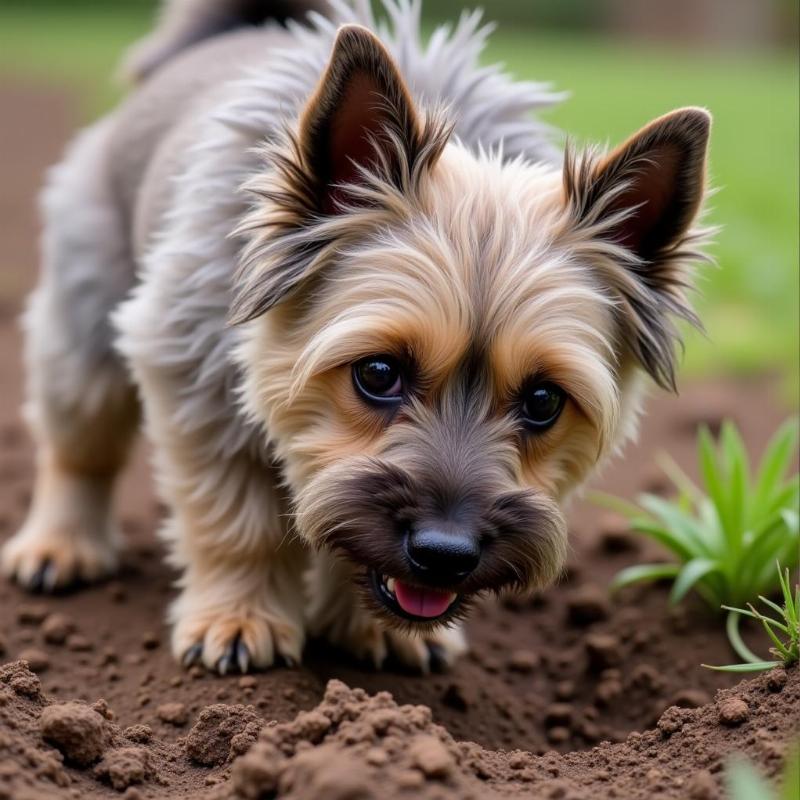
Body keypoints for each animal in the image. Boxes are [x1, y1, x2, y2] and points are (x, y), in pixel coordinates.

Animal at [1, 1, 712, 676]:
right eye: (377, 374)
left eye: (544, 402)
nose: (444, 555)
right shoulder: (191, 367)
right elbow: (235, 519)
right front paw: (239, 620)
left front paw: (376, 631)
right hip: (86, 307)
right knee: (79, 442)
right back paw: (59, 546)